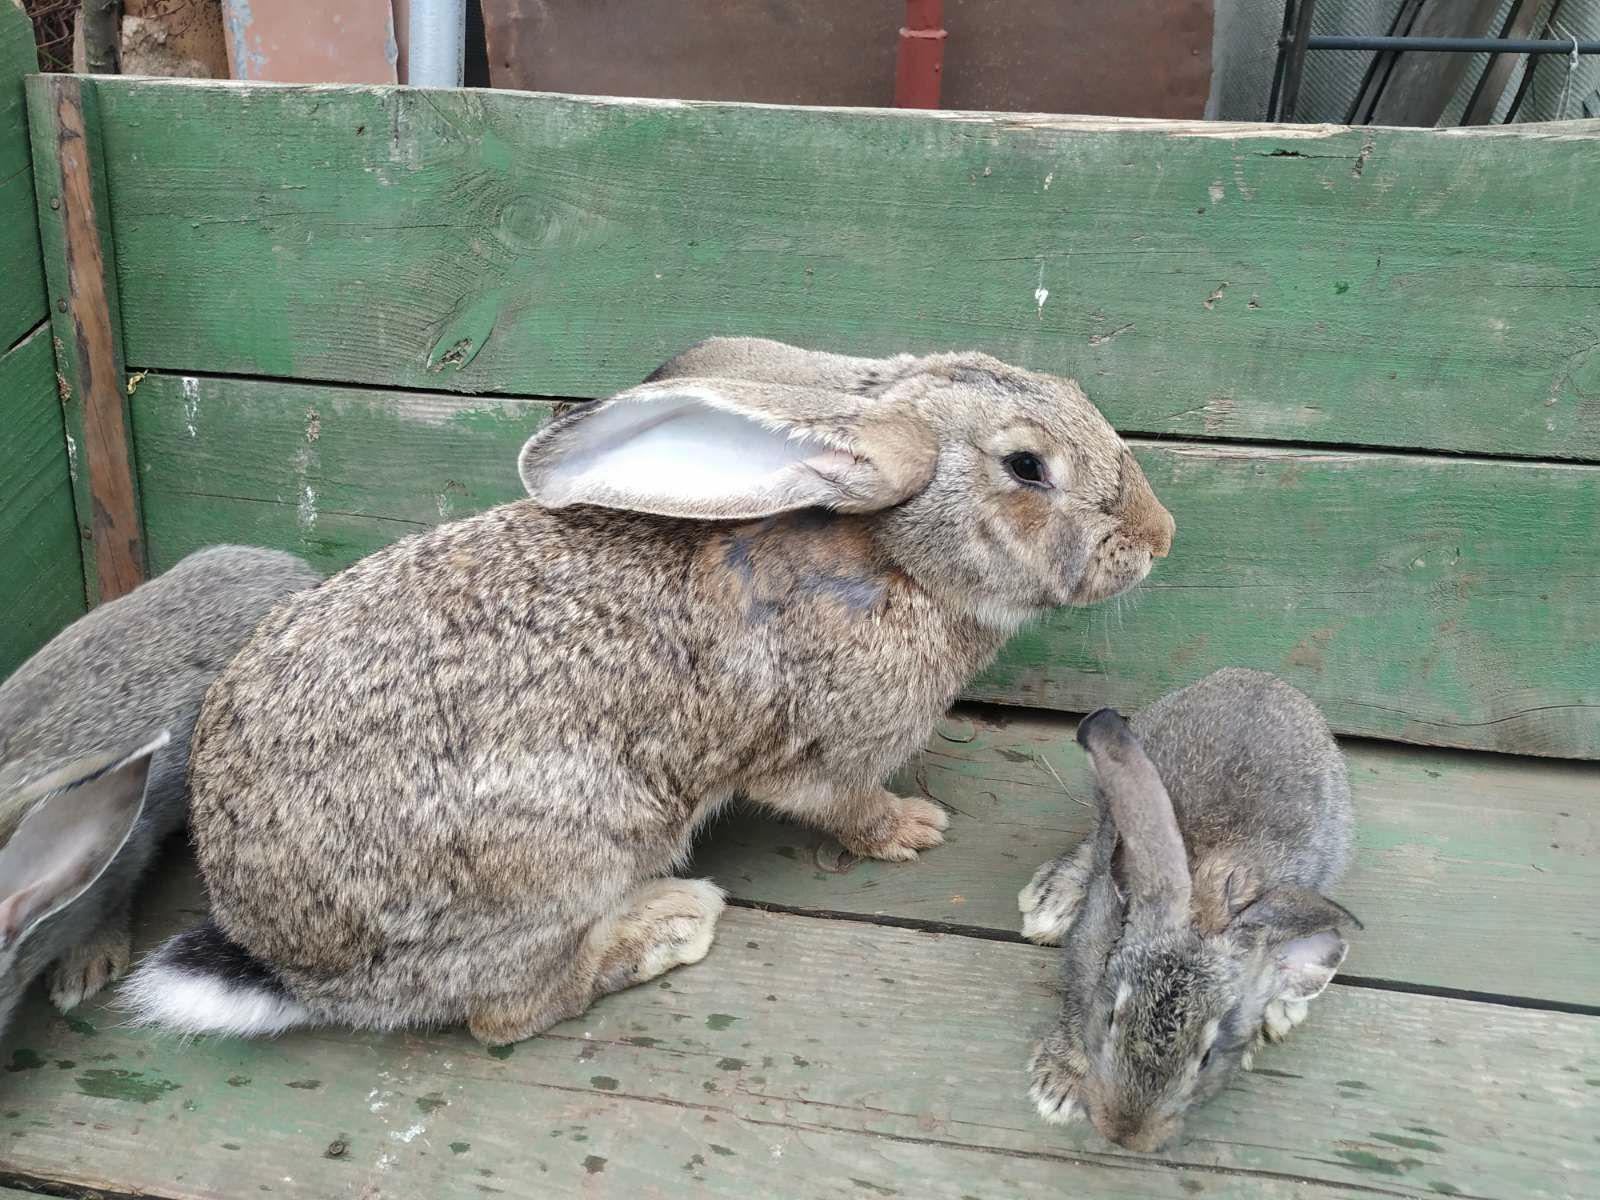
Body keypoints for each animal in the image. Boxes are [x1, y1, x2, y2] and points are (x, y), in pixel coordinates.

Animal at [124, 336, 1177, 1043]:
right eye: (1027, 466)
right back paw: (669, 927)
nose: (1160, 536)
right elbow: (841, 803)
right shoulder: (826, 752)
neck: (898, 558)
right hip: (562, 857)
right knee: (506, 1012)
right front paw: (914, 829)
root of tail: (290, 965)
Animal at [1017, 672, 1356, 1152]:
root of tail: (1261, 678)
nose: (1127, 1135)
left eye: (1207, 1057)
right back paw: (1052, 900)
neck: (1204, 909)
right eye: (1110, 1018)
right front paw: (1058, 1085)